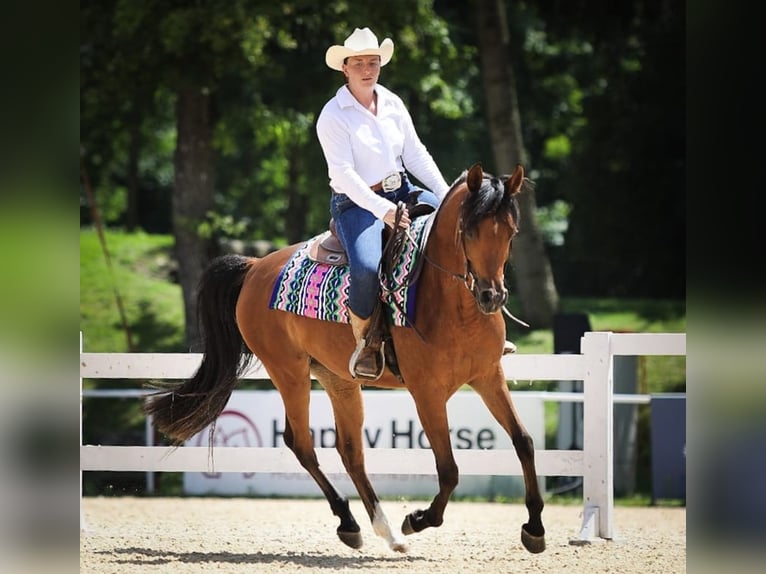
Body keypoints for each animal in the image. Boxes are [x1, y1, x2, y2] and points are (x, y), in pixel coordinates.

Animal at [144, 162, 546, 554]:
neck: (450, 303)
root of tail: (255, 265)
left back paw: (384, 532)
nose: (492, 297)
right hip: (288, 372)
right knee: (302, 443)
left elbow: (524, 442)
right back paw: (354, 523)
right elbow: (448, 469)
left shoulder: (489, 376)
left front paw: (535, 527)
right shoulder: (427, 393)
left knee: (350, 450)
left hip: (337, 379)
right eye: (469, 230)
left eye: (511, 232)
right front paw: (417, 519)